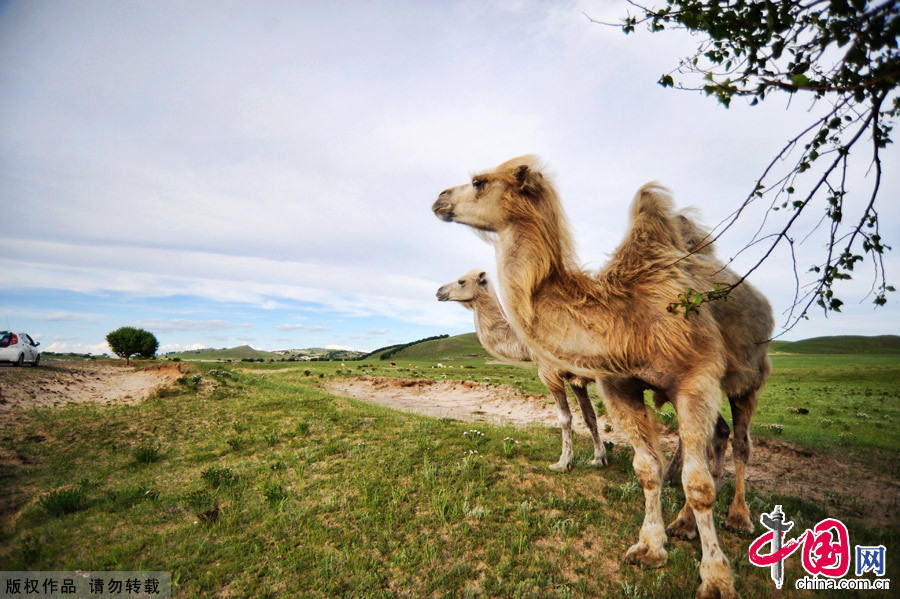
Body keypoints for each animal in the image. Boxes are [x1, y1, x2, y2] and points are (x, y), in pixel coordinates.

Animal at [434, 270, 608, 472]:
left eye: (461, 281)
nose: (439, 291)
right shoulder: (575, 378)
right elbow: (589, 416)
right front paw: (598, 459)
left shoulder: (549, 371)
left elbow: (565, 418)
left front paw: (562, 463)